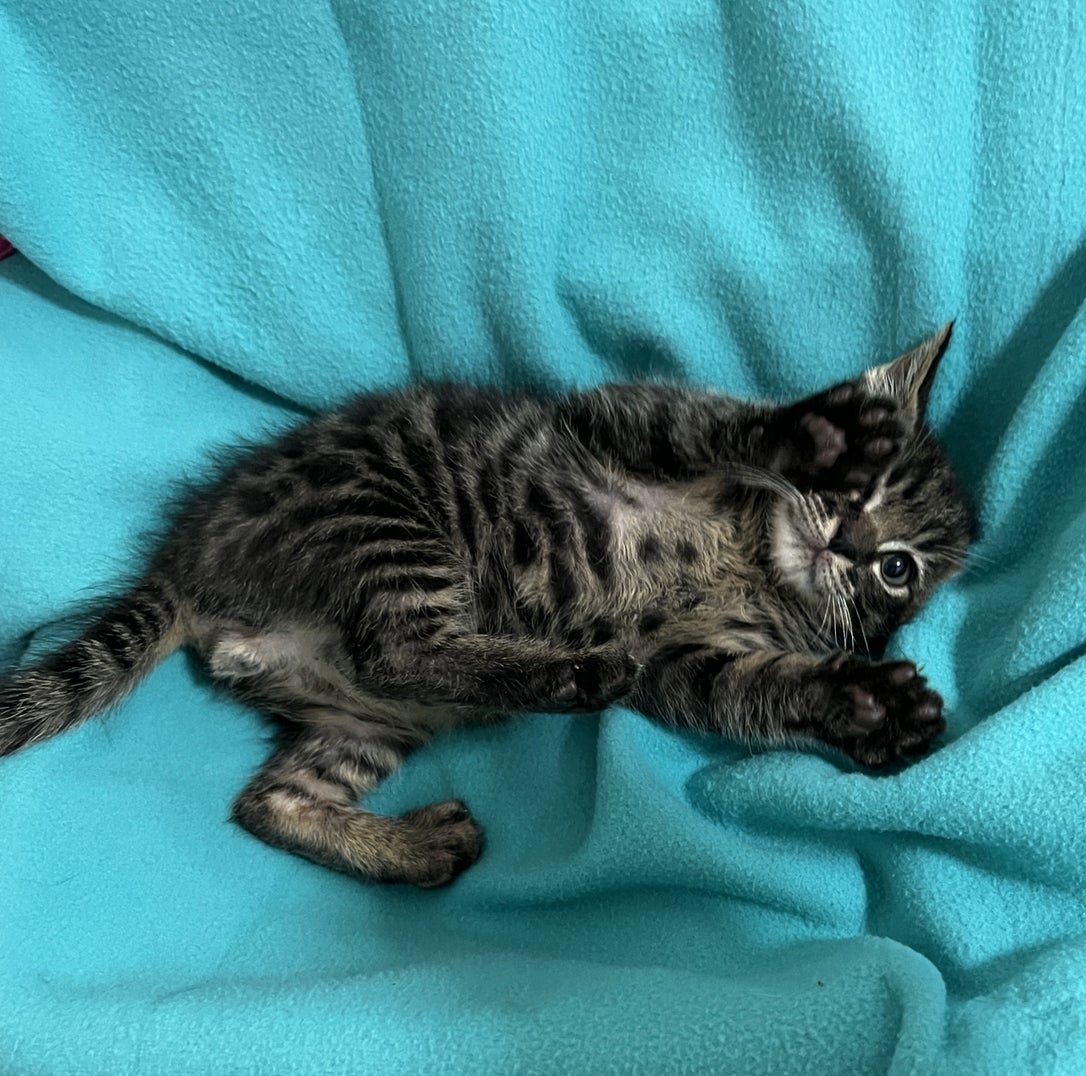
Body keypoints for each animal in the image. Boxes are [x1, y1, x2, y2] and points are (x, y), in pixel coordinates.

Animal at [0, 324, 973, 887]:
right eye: (865, 490)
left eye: (898, 570)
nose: (847, 543)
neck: (752, 555)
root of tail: (189, 557)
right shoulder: (626, 418)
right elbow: (725, 426)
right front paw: (816, 434)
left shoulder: (686, 658)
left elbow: (758, 687)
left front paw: (866, 705)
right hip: (380, 513)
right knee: (399, 645)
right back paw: (579, 673)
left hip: (363, 718)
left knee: (274, 797)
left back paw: (416, 845)